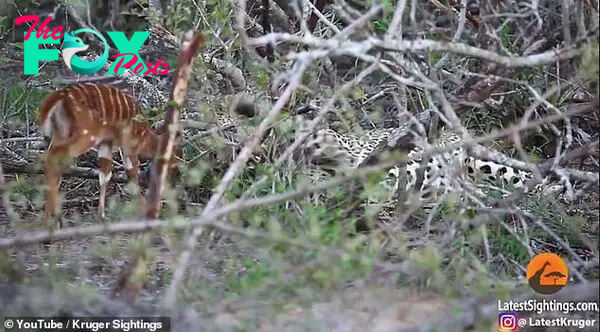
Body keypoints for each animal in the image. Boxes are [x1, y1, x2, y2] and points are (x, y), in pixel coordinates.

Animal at [35, 83, 178, 228]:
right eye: (175, 157)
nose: (174, 179)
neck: (145, 136)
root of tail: (58, 98)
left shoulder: (106, 143)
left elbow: (105, 175)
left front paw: (101, 216)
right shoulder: (130, 144)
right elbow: (131, 174)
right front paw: (147, 210)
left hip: (60, 134)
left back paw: (54, 221)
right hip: (86, 135)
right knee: (51, 158)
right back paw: (51, 222)